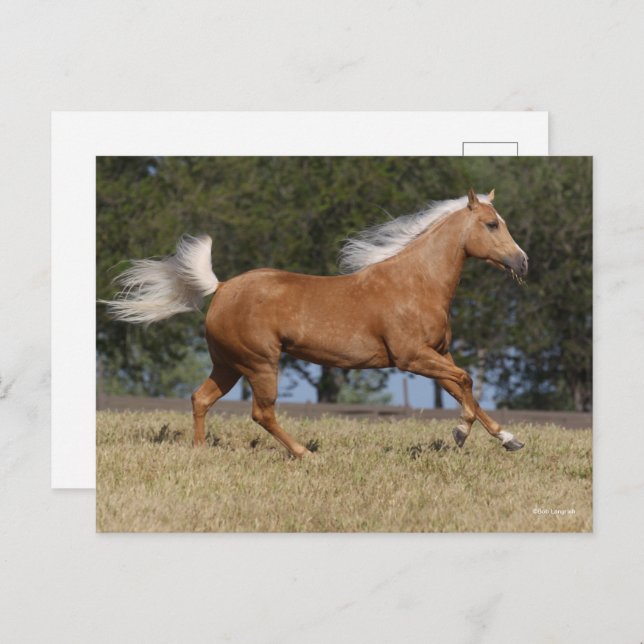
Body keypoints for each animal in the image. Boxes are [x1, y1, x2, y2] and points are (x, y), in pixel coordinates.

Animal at [106, 188, 528, 457]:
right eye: (492, 224)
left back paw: (200, 451)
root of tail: (222, 287)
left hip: (228, 364)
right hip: (260, 363)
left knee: (201, 398)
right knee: (261, 413)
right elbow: (466, 383)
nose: (523, 262)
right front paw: (459, 434)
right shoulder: (411, 358)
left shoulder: (437, 354)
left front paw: (510, 439)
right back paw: (305, 453)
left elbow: (464, 389)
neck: (415, 283)